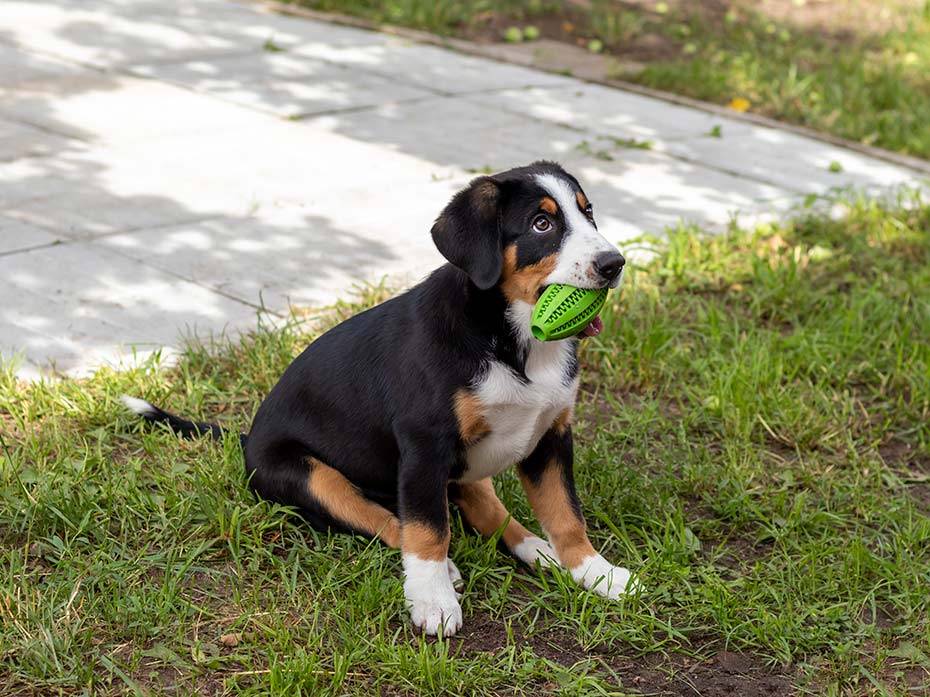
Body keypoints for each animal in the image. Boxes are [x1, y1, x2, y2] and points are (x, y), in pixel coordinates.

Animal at [123, 162, 640, 636]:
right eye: (541, 224)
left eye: (588, 213)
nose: (613, 264)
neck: (513, 341)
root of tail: (249, 437)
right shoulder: (424, 447)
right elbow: (428, 531)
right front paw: (434, 602)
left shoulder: (550, 434)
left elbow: (566, 513)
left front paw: (595, 573)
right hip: (312, 476)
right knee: (391, 521)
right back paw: (446, 571)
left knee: (482, 509)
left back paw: (537, 549)